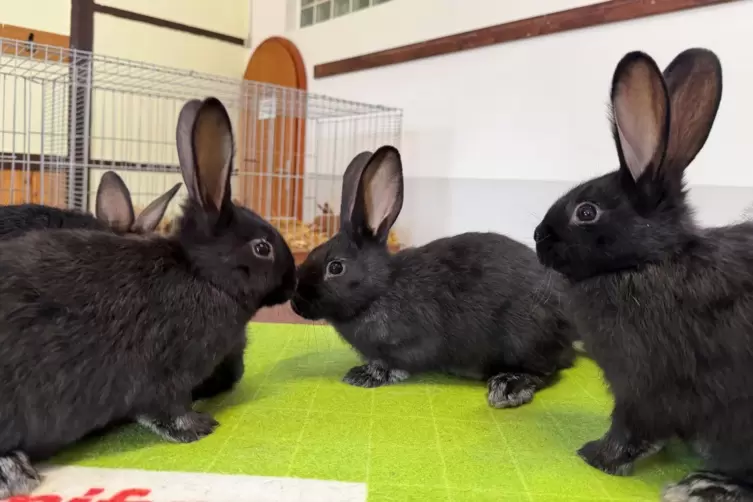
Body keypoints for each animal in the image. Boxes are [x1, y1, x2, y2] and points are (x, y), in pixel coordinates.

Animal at [290, 146, 576, 408]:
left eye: (335, 267)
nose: (295, 304)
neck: (381, 289)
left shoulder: (411, 343)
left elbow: (395, 363)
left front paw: (367, 375)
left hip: (523, 338)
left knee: (545, 372)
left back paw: (508, 386)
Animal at [533, 48, 753, 501]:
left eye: (586, 212)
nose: (537, 236)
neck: (647, 263)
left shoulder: (641, 388)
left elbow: (630, 428)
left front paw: (595, 457)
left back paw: (704, 484)